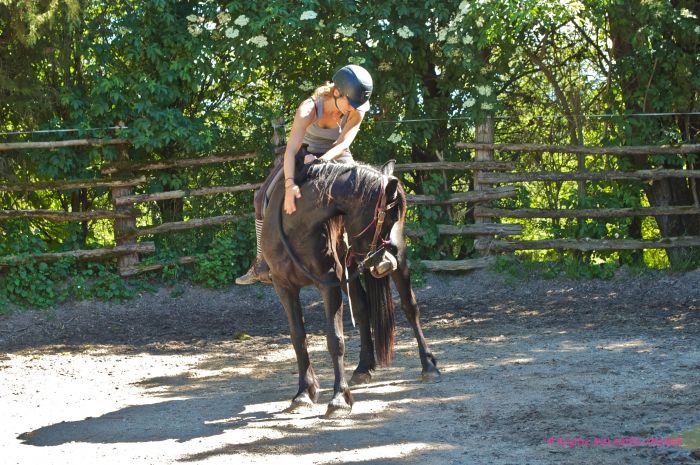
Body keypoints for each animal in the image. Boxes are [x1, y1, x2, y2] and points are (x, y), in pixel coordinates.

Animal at [260, 160, 440, 416]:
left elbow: (335, 339)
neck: (297, 227)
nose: (384, 261)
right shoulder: (283, 286)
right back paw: (363, 368)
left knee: (410, 307)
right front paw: (304, 392)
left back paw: (428, 366)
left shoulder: (328, 285)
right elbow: (298, 337)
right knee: (363, 307)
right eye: (385, 219)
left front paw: (339, 398)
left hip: (399, 263)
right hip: (351, 273)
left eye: (394, 219)